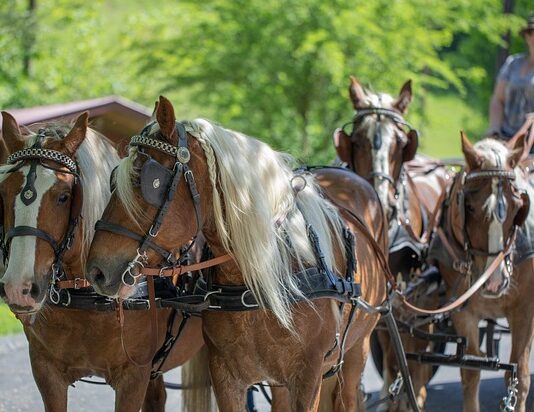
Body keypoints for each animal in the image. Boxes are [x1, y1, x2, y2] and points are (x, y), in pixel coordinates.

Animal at [0, 110, 207, 412]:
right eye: (3, 194)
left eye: (63, 196)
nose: (20, 288)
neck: (90, 300)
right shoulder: (46, 372)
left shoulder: (133, 376)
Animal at [86, 97, 392, 412]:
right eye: (114, 178)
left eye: (149, 182)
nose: (97, 270)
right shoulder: (226, 375)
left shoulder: (308, 378)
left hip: (355, 353)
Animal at [430, 133, 532, 412]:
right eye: (469, 207)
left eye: (518, 207)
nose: (494, 282)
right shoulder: (463, 312)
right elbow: (470, 372)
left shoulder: (525, 311)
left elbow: (519, 377)